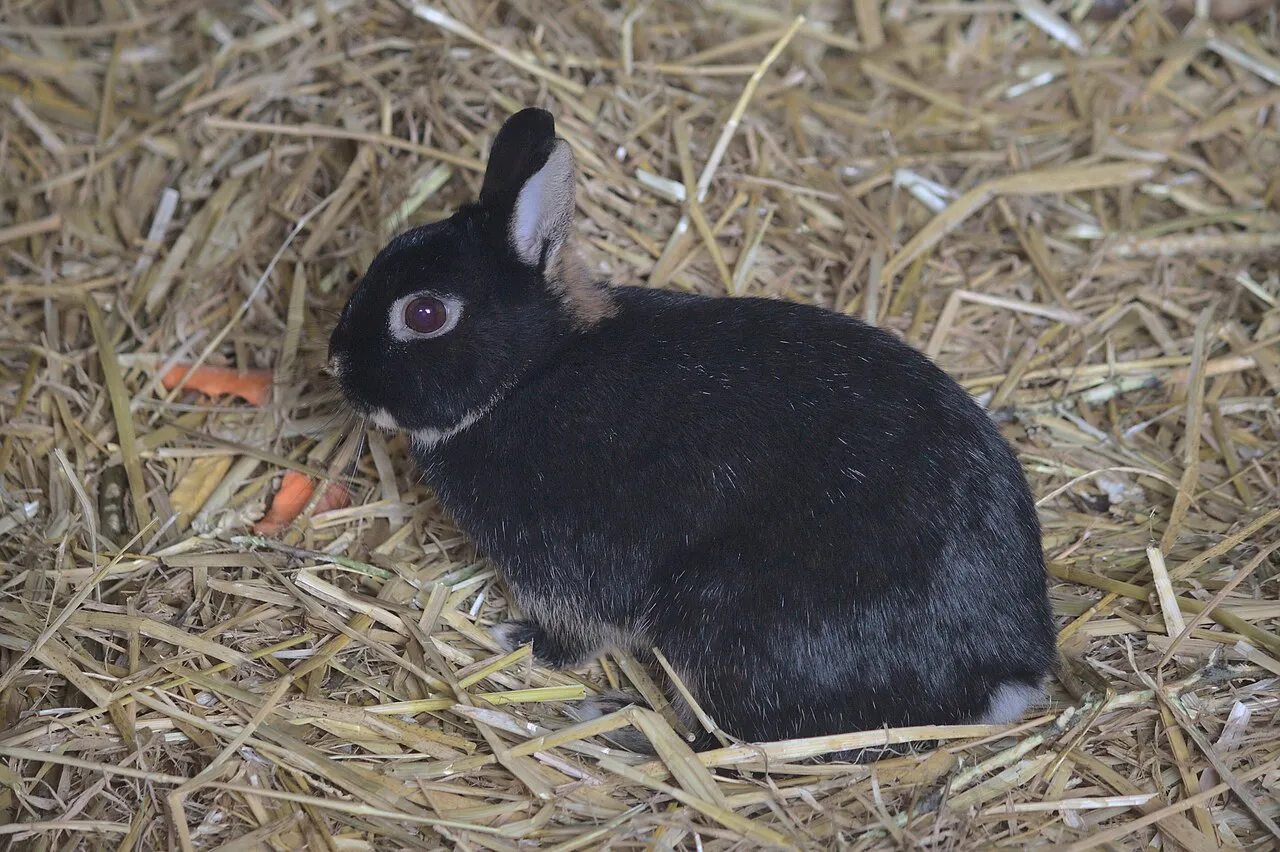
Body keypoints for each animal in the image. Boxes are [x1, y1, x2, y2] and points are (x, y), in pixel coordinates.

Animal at [327, 107, 1057, 754]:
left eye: (424, 314)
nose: (337, 364)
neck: (531, 372)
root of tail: (1007, 674)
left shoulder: (573, 570)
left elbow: (577, 635)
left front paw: (522, 643)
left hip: (723, 630)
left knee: (725, 738)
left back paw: (620, 729)